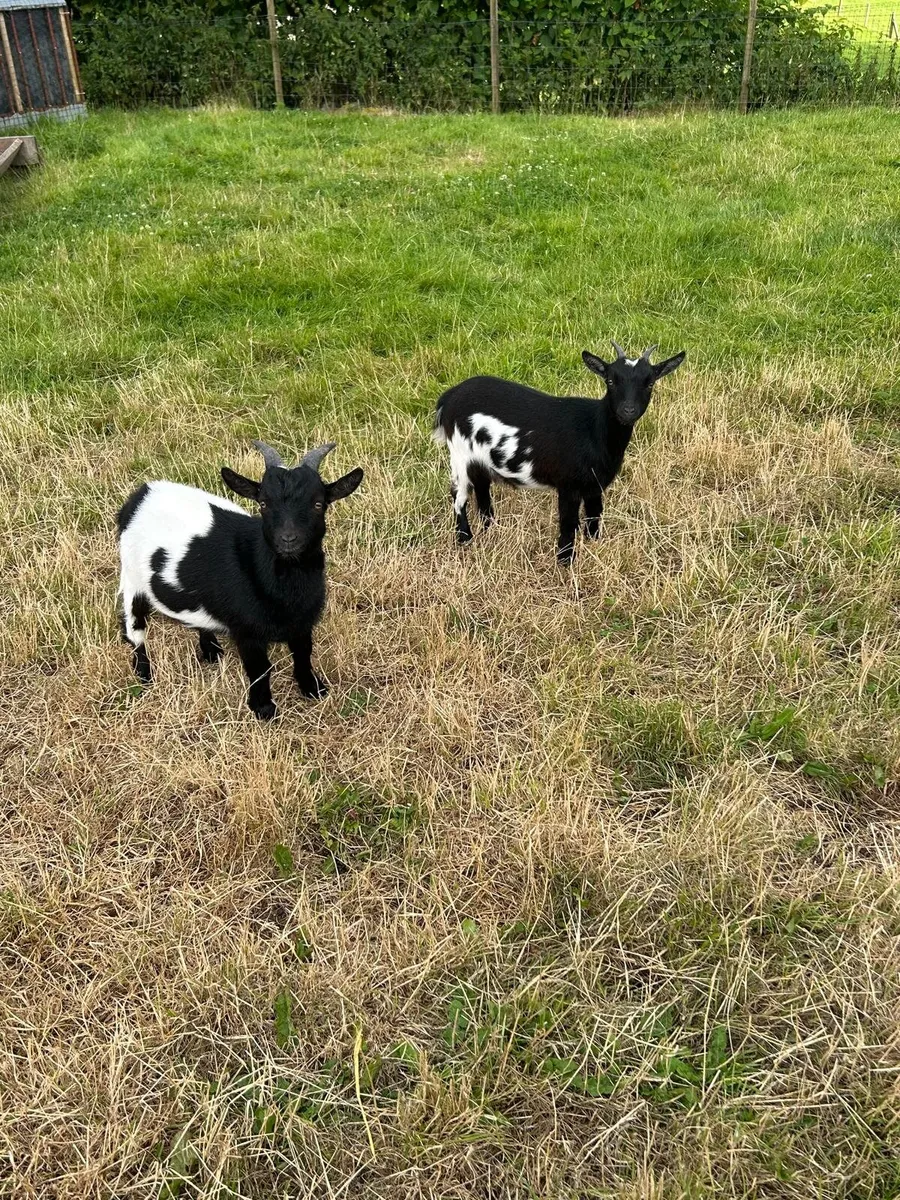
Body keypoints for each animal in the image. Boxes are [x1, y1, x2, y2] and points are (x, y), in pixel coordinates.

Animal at [117, 441, 363, 719]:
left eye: (319, 504)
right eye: (263, 503)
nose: (288, 539)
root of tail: (142, 493)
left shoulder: (303, 623)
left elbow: (303, 653)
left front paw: (313, 689)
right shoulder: (247, 631)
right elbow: (259, 667)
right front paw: (263, 708)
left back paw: (210, 650)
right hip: (132, 577)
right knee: (134, 627)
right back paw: (144, 673)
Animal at [433, 342, 685, 563]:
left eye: (650, 383)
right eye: (611, 380)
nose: (628, 411)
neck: (594, 429)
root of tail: (450, 396)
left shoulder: (595, 485)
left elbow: (594, 515)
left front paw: (594, 545)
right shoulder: (568, 484)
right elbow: (568, 521)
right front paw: (565, 561)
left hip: (480, 458)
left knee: (482, 487)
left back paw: (490, 528)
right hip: (460, 453)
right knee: (458, 495)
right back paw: (465, 538)